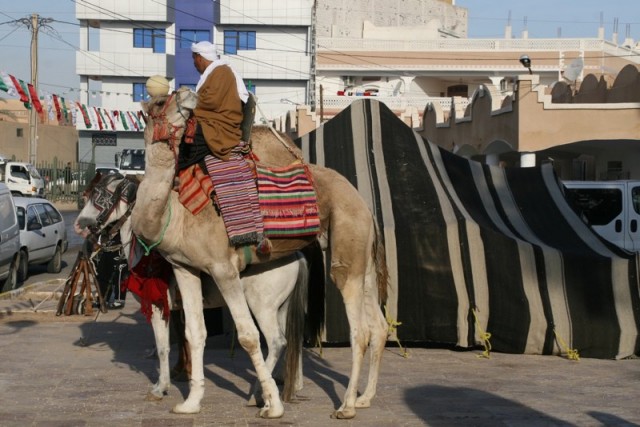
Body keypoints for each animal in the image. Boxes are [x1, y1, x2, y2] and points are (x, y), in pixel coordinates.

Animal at [74, 171, 318, 404]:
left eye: (99, 196)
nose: (79, 225)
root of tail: (295, 255)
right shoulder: (175, 309)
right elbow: (173, 343)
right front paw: (168, 383)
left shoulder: (158, 306)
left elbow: (163, 347)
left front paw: (162, 386)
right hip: (281, 308)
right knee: (290, 341)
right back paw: (288, 384)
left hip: (262, 308)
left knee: (276, 342)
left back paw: (259, 392)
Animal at [137, 88, 388, 422]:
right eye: (156, 103)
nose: (187, 94)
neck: (176, 213)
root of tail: (364, 205)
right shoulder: (184, 268)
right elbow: (195, 333)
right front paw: (189, 403)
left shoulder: (223, 268)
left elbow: (247, 336)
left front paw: (274, 406)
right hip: (365, 258)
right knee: (378, 326)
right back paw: (364, 398)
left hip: (346, 243)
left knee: (359, 330)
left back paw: (345, 406)